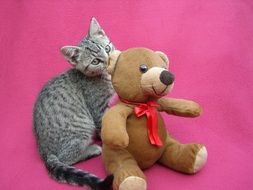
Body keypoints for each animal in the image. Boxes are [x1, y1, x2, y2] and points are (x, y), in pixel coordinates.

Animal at [32, 17, 114, 189]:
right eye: (95, 61)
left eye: (107, 48)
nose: (109, 60)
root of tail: (45, 153)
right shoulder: (99, 109)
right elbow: (105, 126)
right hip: (81, 129)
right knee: (66, 158)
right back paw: (91, 149)